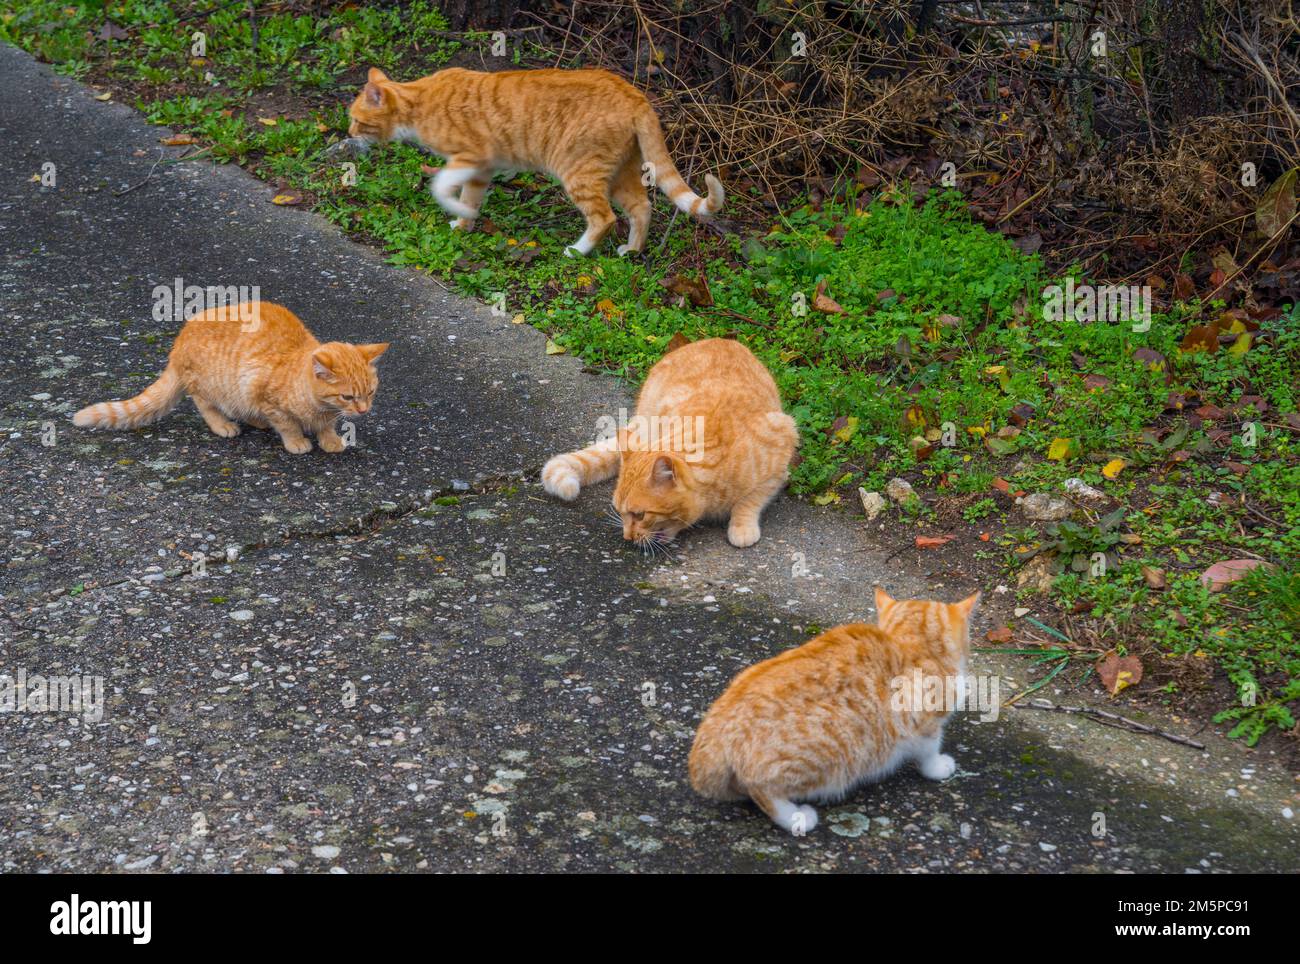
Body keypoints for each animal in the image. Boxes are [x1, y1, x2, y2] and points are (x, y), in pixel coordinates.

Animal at [74, 301, 387, 457]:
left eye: (371, 392)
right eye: (348, 396)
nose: (364, 410)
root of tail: (179, 340)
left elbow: (326, 426)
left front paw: (329, 439)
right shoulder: (264, 394)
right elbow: (287, 424)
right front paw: (297, 441)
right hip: (214, 385)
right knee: (205, 405)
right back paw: (223, 424)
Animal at [340, 65, 728, 258]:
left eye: (357, 120)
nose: (348, 131)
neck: (420, 100)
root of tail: (635, 94)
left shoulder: (471, 157)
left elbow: (440, 185)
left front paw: (457, 212)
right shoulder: (481, 169)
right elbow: (469, 197)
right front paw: (464, 222)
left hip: (578, 172)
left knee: (604, 218)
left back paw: (577, 251)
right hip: (621, 171)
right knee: (641, 207)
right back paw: (632, 250)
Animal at [540, 340, 800, 550]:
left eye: (640, 515)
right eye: (620, 512)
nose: (627, 537)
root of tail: (719, 339)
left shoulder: (782, 443)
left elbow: (750, 500)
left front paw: (742, 526)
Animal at [691, 589, 977, 836]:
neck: (910, 641)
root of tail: (714, 731)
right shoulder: (926, 722)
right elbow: (929, 750)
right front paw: (938, 766)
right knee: (762, 790)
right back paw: (796, 817)